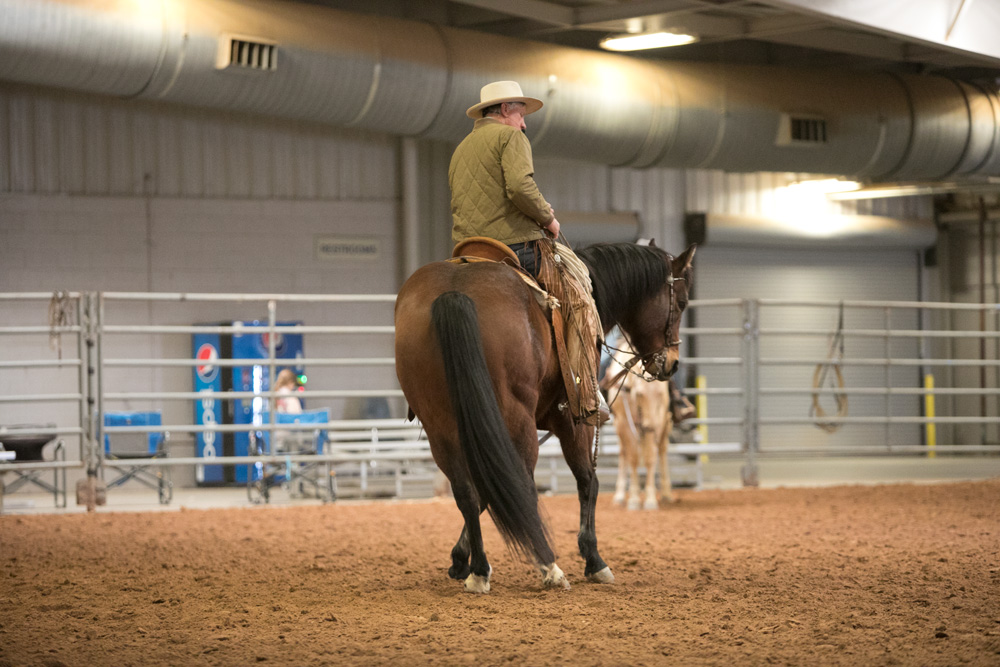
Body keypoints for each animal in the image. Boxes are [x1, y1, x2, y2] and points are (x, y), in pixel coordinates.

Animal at [604, 344, 676, 512]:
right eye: (640, 394)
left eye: (660, 394)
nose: (649, 426)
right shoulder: (625, 423)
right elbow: (633, 458)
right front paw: (634, 499)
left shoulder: (658, 420)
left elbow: (650, 458)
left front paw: (650, 499)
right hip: (620, 428)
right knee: (623, 453)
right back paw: (619, 496)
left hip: (664, 424)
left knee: (662, 451)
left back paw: (666, 493)